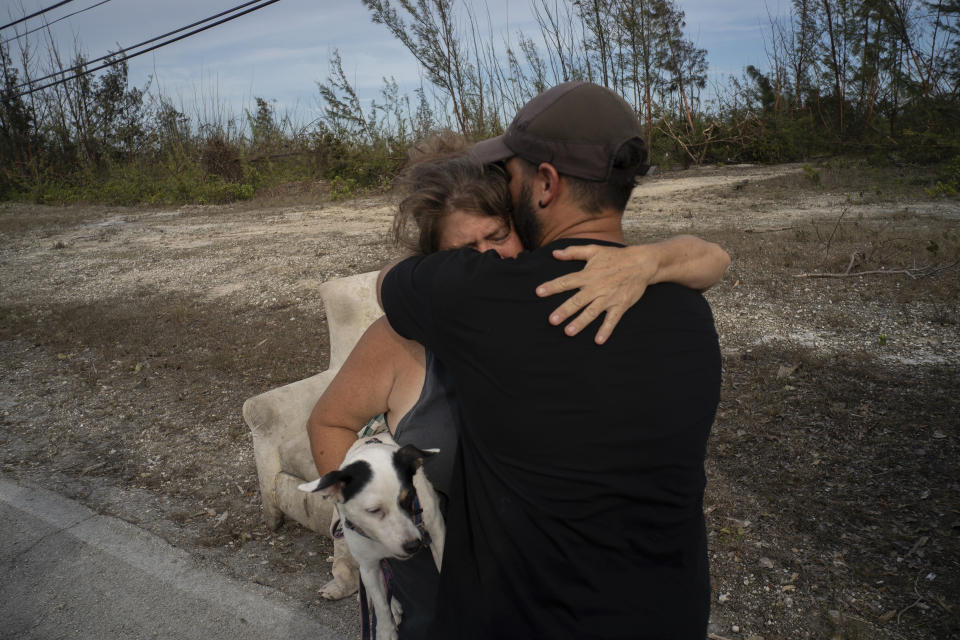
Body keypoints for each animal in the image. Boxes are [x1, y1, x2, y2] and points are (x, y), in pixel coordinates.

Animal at [298, 436, 444, 640]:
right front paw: (385, 631)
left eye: (409, 498)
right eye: (373, 510)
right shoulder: (368, 565)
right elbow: (380, 603)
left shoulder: (437, 532)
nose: (414, 545)